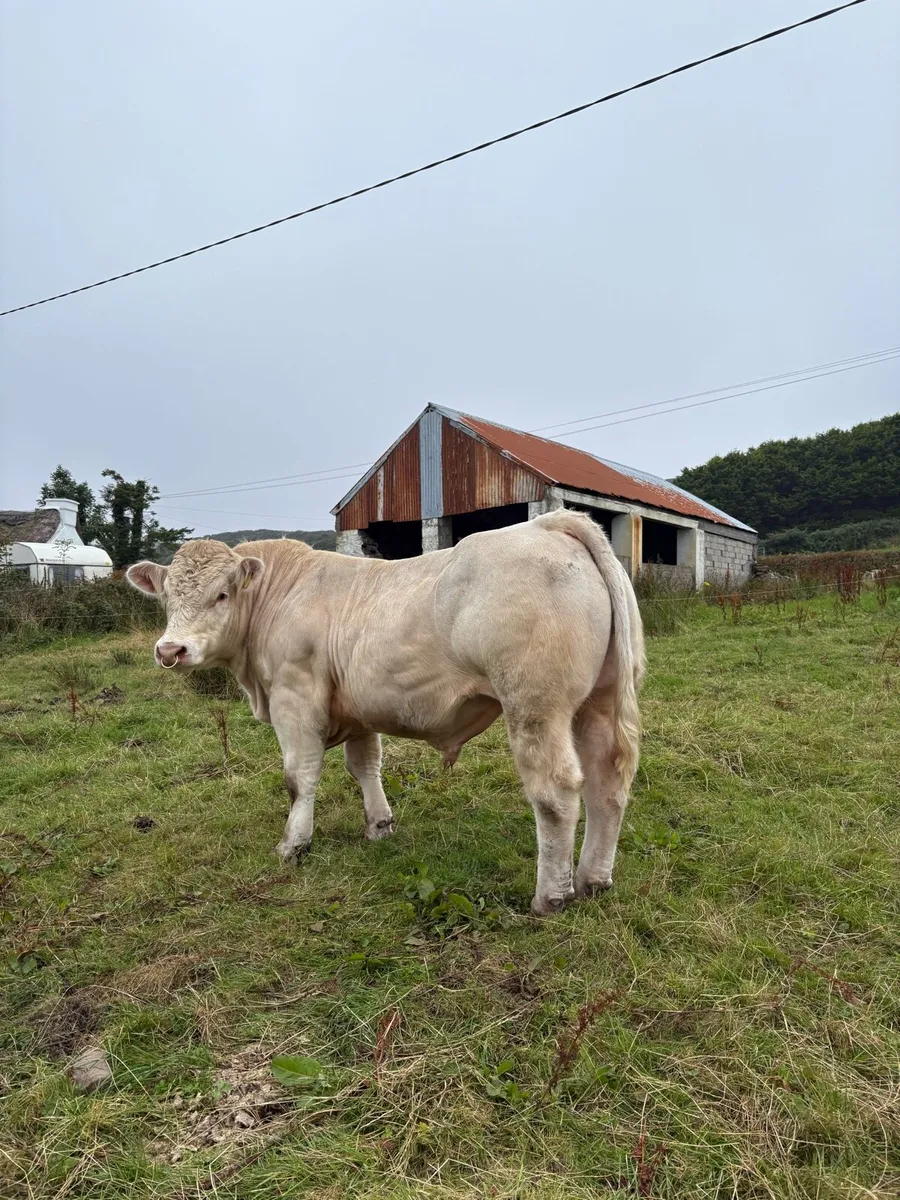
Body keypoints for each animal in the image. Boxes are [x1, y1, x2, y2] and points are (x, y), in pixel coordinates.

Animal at [126, 510, 645, 915]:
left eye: (221, 594)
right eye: (168, 596)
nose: (171, 650)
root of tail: (550, 523)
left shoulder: (295, 700)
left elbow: (299, 777)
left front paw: (294, 844)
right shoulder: (356, 707)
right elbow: (364, 766)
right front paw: (379, 825)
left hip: (535, 705)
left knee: (556, 792)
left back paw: (551, 896)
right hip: (598, 701)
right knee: (608, 781)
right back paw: (593, 880)